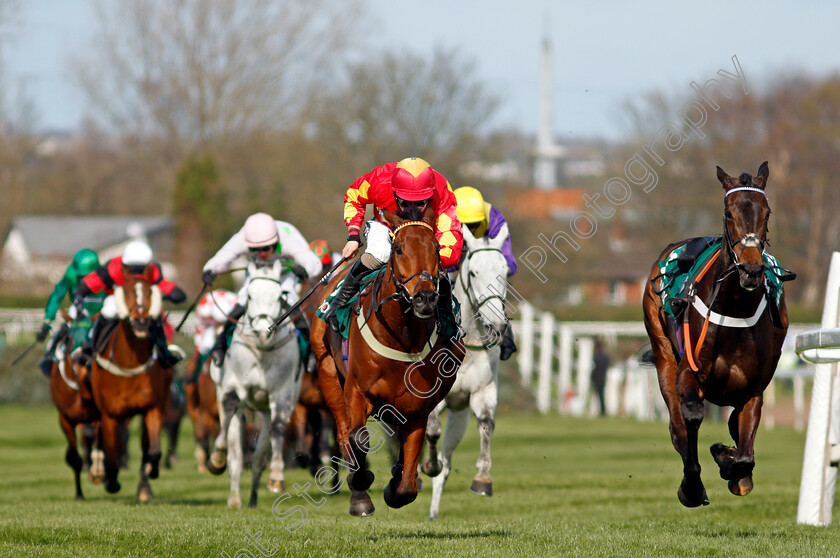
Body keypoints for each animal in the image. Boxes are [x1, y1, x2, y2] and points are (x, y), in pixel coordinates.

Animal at [90, 272, 174, 504]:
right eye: (126, 290)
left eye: (149, 291)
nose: (141, 321)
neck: (129, 364)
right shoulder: (109, 415)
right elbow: (112, 455)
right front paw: (110, 481)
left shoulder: (152, 408)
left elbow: (153, 451)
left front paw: (151, 471)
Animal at [208, 260, 302, 510]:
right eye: (249, 296)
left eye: (279, 296)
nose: (261, 331)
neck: (261, 351)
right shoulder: (233, 386)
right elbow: (230, 413)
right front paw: (216, 457)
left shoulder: (281, 393)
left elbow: (278, 429)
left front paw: (277, 477)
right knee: (236, 455)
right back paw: (234, 499)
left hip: (266, 409)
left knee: (259, 457)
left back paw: (252, 499)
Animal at [312, 208, 466, 520]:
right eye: (398, 249)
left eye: (436, 249)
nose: (425, 298)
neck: (402, 336)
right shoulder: (357, 391)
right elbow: (358, 439)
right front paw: (361, 485)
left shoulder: (418, 407)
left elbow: (408, 481)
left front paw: (395, 487)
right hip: (328, 373)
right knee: (344, 433)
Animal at [424, 225, 508, 524]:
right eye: (473, 272)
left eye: (505, 270)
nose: (496, 324)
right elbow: (431, 430)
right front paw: (429, 464)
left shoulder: (482, 391)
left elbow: (486, 424)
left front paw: (483, 479)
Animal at [644, 163, 788, 512]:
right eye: (728, 212)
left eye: (766, 211)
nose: (751, 270)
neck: (734, 308)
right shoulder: (689, 373)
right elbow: (691, 418)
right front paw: (693, 485)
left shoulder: (753, 389)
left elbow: (745, 453)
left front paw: (729, 462)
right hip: (663, 355)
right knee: (678, 426)